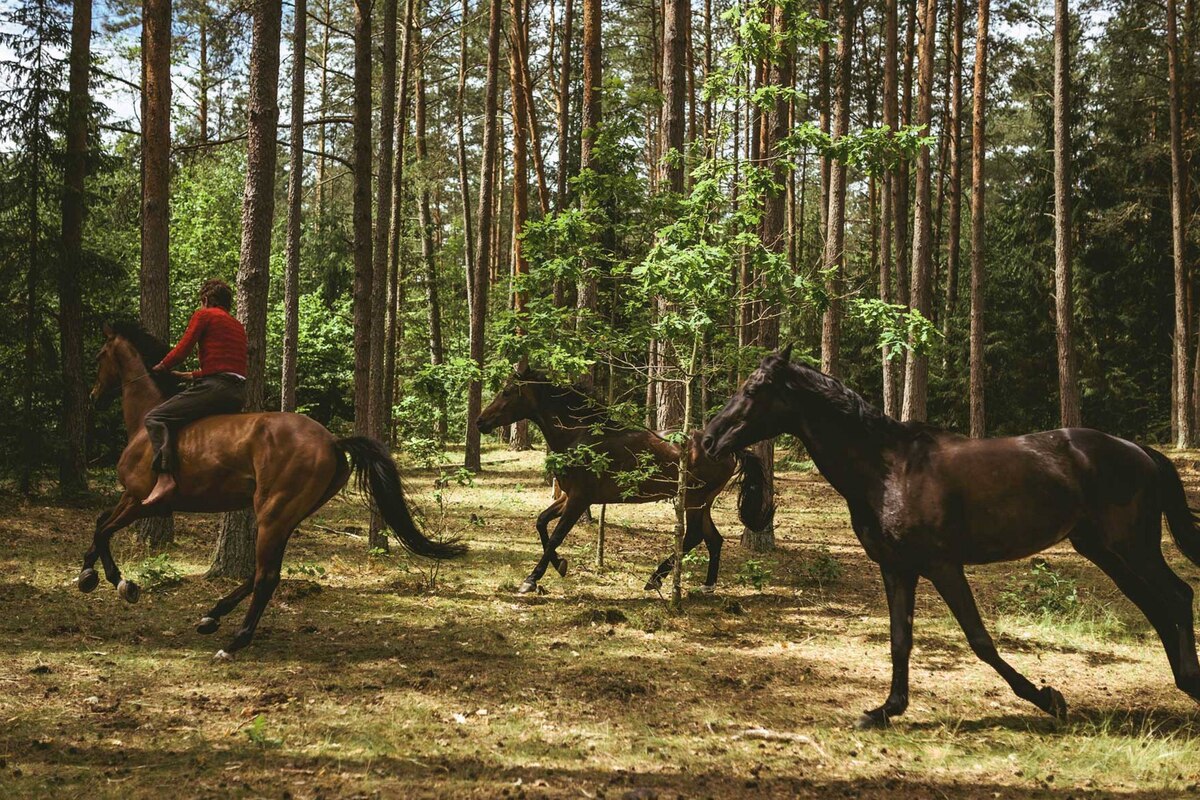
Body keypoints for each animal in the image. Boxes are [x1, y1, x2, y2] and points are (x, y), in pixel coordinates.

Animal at [85, 321, 466, 656]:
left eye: (100, 356)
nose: (93, 396)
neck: (144, 422)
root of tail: (332, 440)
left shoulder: (142, 500)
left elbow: (103, 530)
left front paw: (117, 582)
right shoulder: (132, 498)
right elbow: (100, 523)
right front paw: (90, 575)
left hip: (272, 512)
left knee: (267, 575)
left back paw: (234, 642)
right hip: (287, 516)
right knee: (260, 571)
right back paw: (212, 617)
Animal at [476, 366, 774, 594]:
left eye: (506, 392)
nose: (480, 421)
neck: (579, 435)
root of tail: (727, 449)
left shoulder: (579, 500)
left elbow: (555, 537)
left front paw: (531, 579)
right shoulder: (569, 496)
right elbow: (541, 522)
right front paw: (560, 565)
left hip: (694, 499)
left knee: (694, 536)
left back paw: (655, 579)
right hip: (703, 502)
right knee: (713, 539)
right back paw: (706, 585)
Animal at [703, 346, 1200, 728]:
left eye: (753, 390)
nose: (708, 440)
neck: (889, 470)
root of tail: (1140, 452)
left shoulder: (943, 566)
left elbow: (979, 639)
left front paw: (1048, 698)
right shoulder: (896, 568)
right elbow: (899, 639)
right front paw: (886, 710)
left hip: (1133, 548)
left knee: (1178, 597)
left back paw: (1191, 684)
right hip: (1105, 552)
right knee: (1157, 606)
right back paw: (1183, 681)